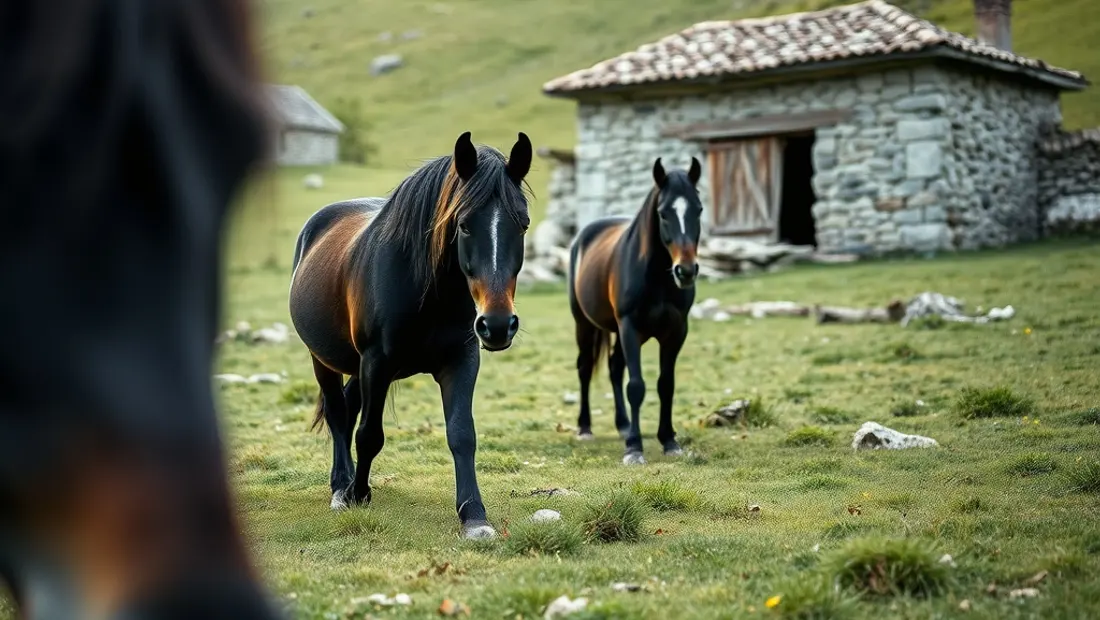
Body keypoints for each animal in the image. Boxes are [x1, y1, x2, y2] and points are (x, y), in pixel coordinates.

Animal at [288, 131, 532, 540]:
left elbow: (462, 435)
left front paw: (474, 515)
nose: (497, 325)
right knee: (338, 414)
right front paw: (356, 494)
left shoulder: (461, 361)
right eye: (464, 224)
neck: (428, 291)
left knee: (348, 409)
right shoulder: (376, 362)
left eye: (523, 224)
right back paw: (341, 486)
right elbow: (369, 435)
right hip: (323, 359)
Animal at [567, 157, 704, 465]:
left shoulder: (676, 332)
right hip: (585, 324)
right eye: (663, 213)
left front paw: (669, 441)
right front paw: (634, 448)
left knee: (615, 368)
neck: (656, 277)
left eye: (699, 210)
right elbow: (637, 386)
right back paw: (585, 427)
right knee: (585, 368)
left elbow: (666, 384)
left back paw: (623, 424)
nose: (686, 270)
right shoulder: (630, 328)